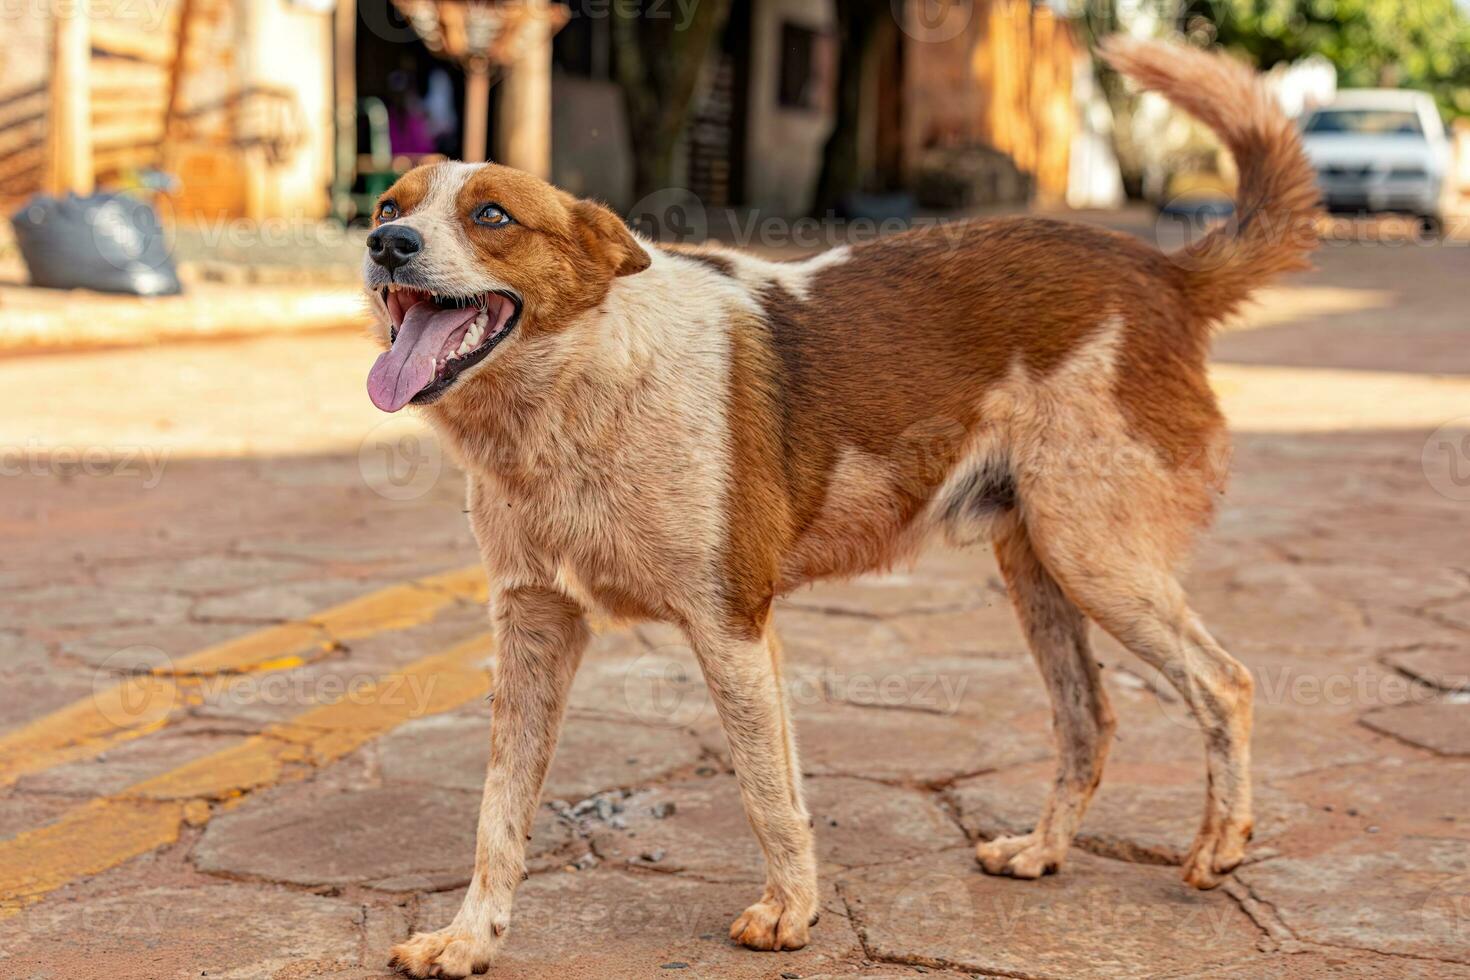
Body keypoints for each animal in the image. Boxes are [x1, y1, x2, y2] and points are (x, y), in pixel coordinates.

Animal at [361, 36, 1317, 975]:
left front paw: (792, 911)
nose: (386, 244)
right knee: (1090, 717)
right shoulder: (534, 627)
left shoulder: (733, 623)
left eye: (492, 216)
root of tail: (1162, 270)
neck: (571, 395)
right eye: (387, 203)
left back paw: (1221, 843)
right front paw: (470, 937)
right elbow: (498, 811)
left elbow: (766, 789)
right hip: (1038, 562)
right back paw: (1043, 852)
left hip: (1095, 557)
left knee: (1224, 682)